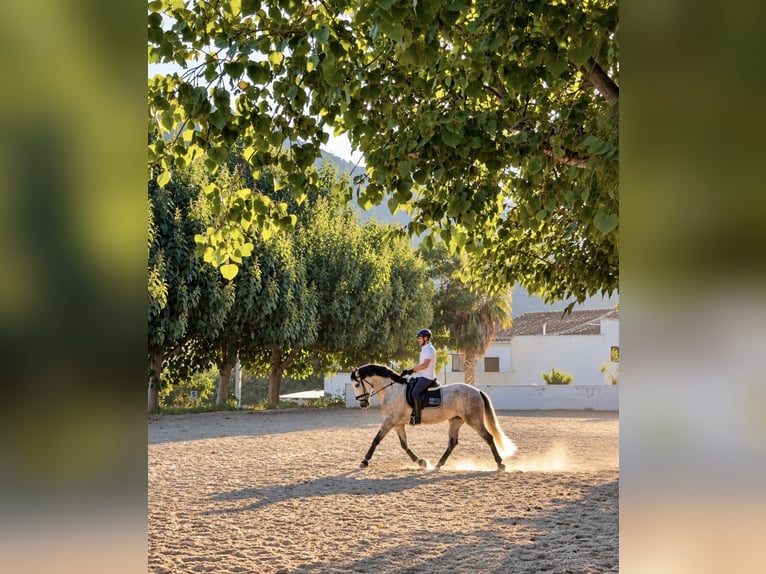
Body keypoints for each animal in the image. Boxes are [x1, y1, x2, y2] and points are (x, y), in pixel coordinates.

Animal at [350, 364, 517, 471]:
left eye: (357, 384)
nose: (363, 404)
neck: (392, 390)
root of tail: (477, 391)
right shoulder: (397, 424)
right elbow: (404, 445)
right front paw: (421, 462)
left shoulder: (389, 421)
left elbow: (376, 440)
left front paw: (364, 461)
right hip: (455, 421)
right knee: (452, 443)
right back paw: (438, 465)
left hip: (473, 420)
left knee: (488, 437)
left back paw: (500, 464)